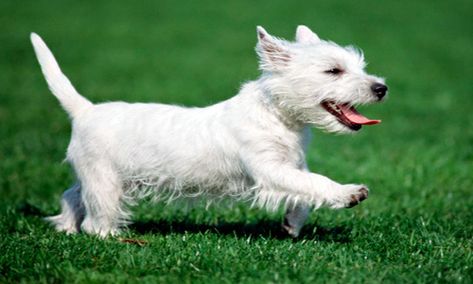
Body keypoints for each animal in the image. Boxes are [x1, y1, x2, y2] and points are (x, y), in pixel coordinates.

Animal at [32, 26, 388, 237]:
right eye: (333, 71)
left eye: (359, 67)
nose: (381, 88)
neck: (278, 115)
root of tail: (84, 110)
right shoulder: (269, 169)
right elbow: (316, 182)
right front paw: (349, 193)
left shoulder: (292, 165)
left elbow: (304, 190)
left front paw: (291, 225)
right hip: (105, 181)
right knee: (95, 220)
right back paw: (113, 238)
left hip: (96, 176)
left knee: (72, 195)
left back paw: (65, 226)